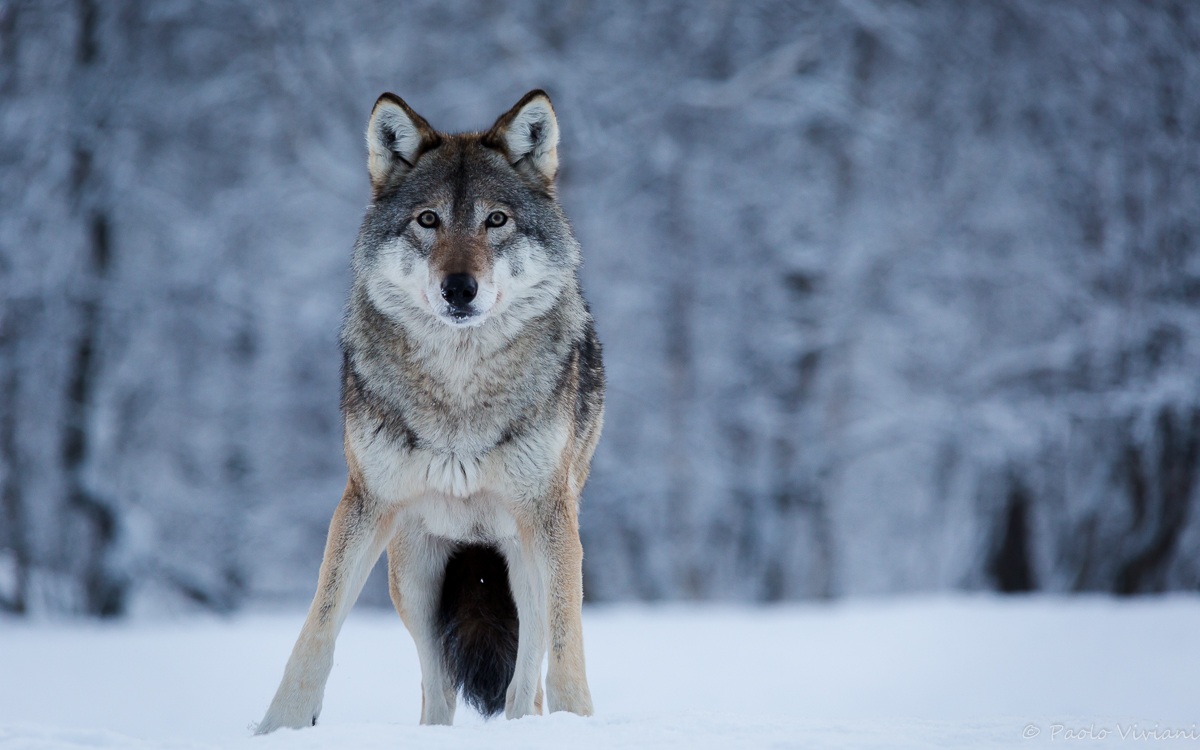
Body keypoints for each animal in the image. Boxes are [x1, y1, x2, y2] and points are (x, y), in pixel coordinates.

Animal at [256, 90, 603, 732]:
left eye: (496, 220)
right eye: (428, 220)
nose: (459, 288)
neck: (459, 390)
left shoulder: (549, 515)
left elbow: (566, 644)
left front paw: (578, 724)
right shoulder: (366, 502)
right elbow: (318, 626)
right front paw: (282, 726)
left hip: (526, 561)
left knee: (527, 674)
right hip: (414, 576)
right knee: (435, 683)